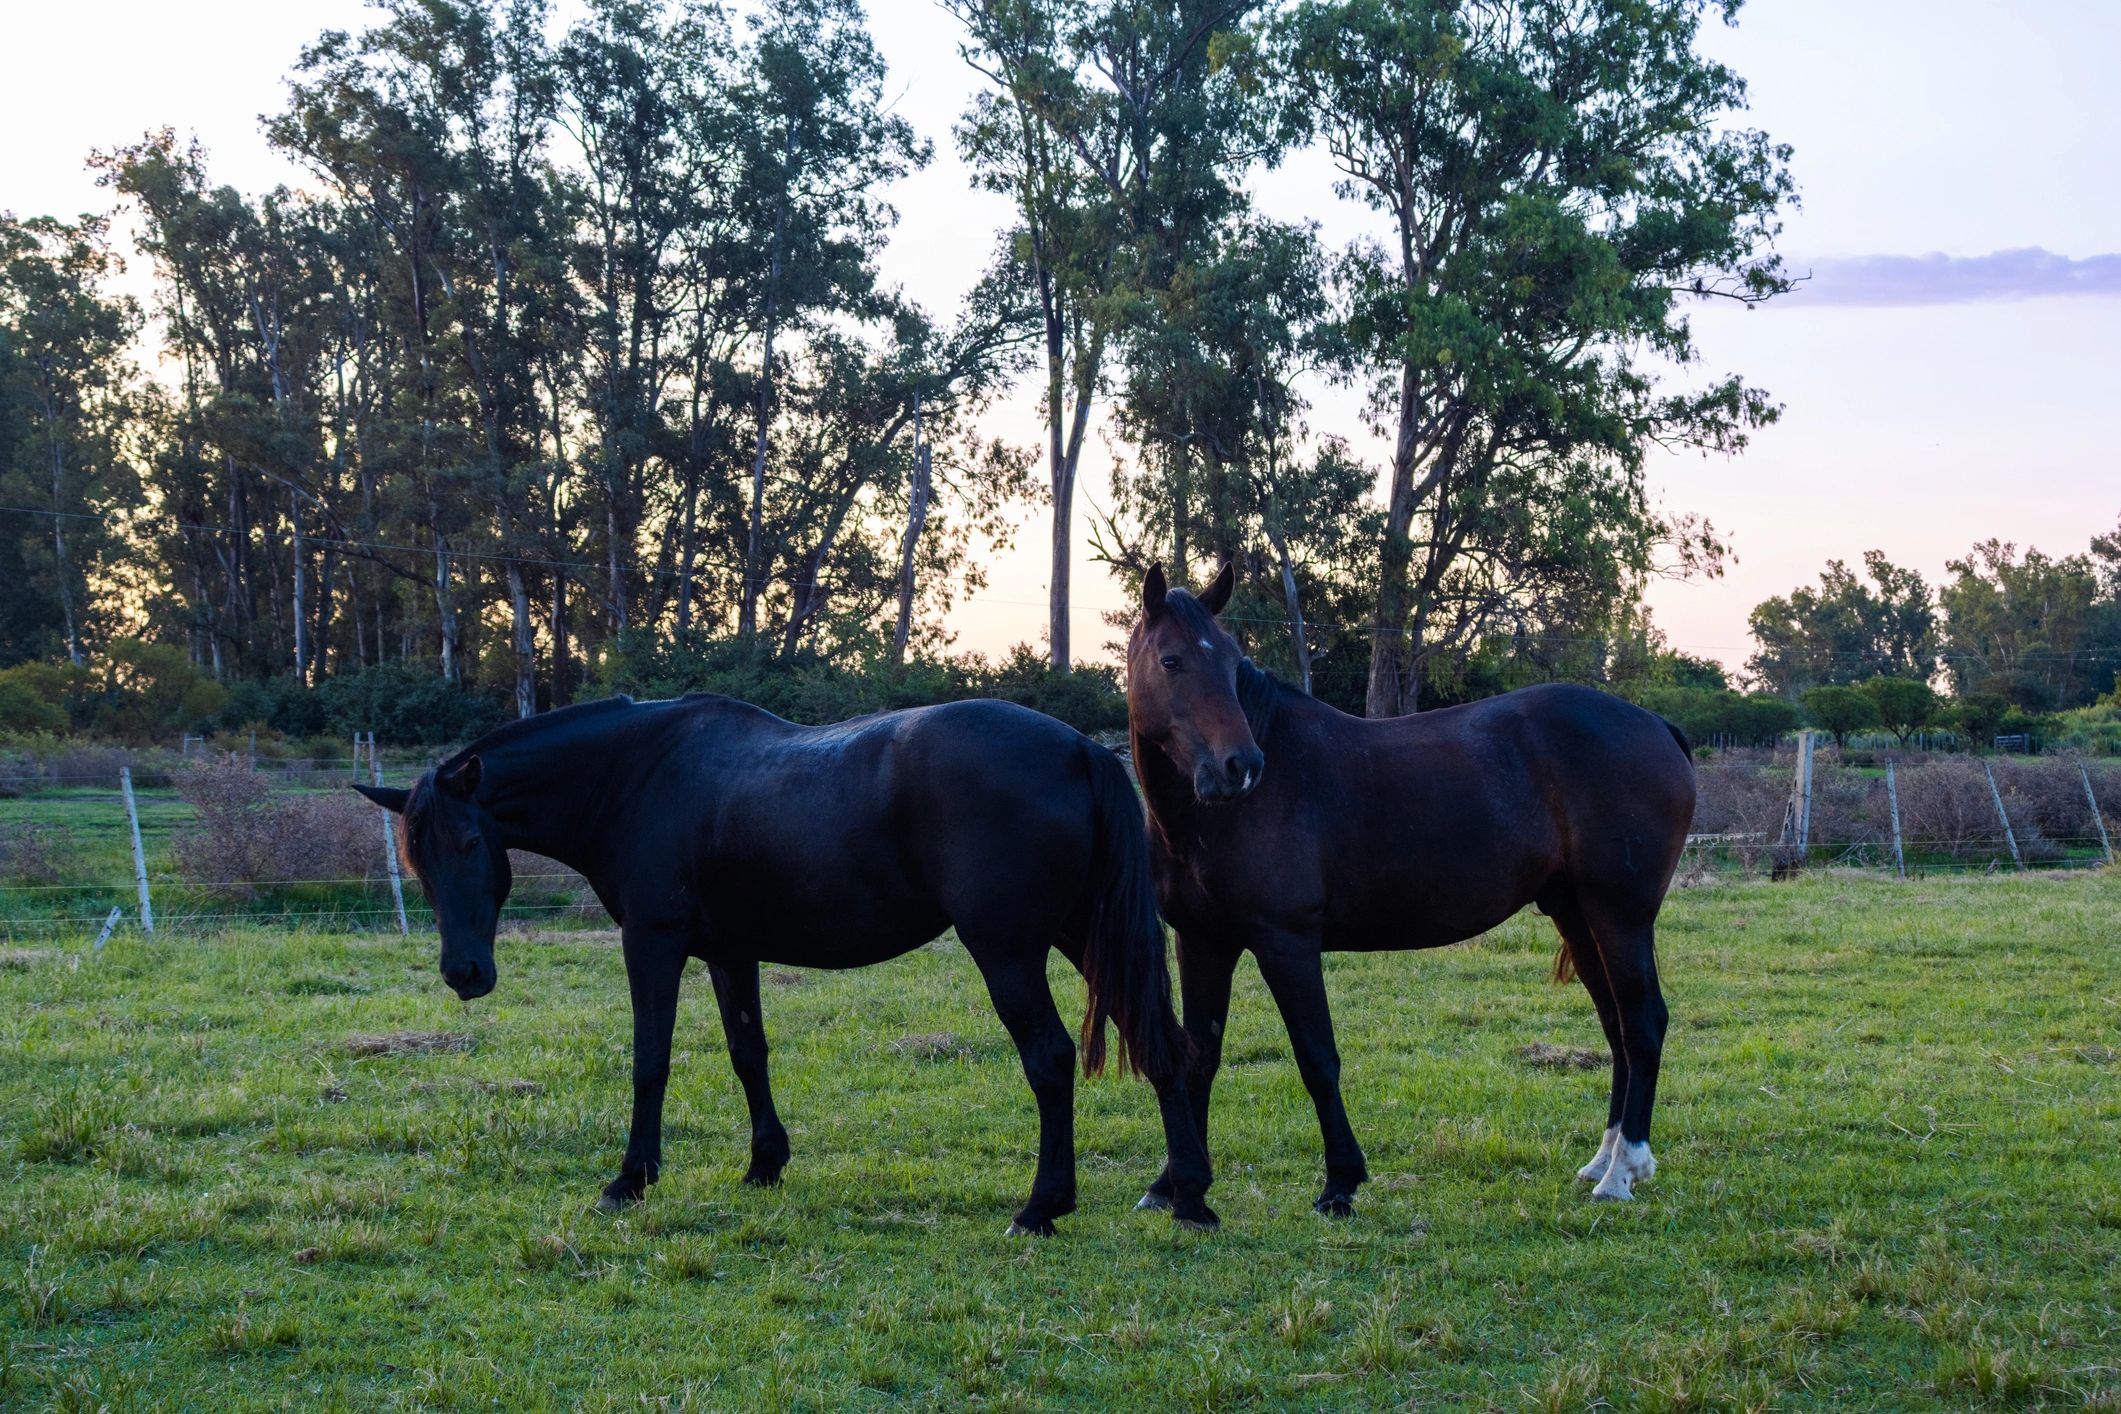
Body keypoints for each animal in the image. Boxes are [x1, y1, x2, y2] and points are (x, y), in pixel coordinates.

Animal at [353, 692, 1217, 1235]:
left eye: (472, 842)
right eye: (416, 857)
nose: (464, 973)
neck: (638, 775)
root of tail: (1078, 747)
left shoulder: (653, 943)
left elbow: (649, 1060)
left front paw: (630, 1179)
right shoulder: (730, 954)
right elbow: (748, 1054)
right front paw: (764, 1164)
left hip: (1007, 951)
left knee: (1049, 1058)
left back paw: (1042, 1207)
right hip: (1086, 935)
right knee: (1164, 1043)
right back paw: (1185, 1195)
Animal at [1125, 563, 1695, 1212]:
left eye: (1229, 659)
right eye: (1171, 661)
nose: (1240, 766)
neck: (1209, 819)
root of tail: (1657, 726)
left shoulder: (1286, 943)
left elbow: (1317, 1059)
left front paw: (1340, 1183)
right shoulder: (1202, 941)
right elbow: (1200, 1057)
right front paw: (1172, 1185)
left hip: (1619, 917)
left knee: (1643, 1024)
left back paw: (1623, 1172)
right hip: (1578, 916)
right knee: (1617, 1028)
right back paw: (1603, 1159)